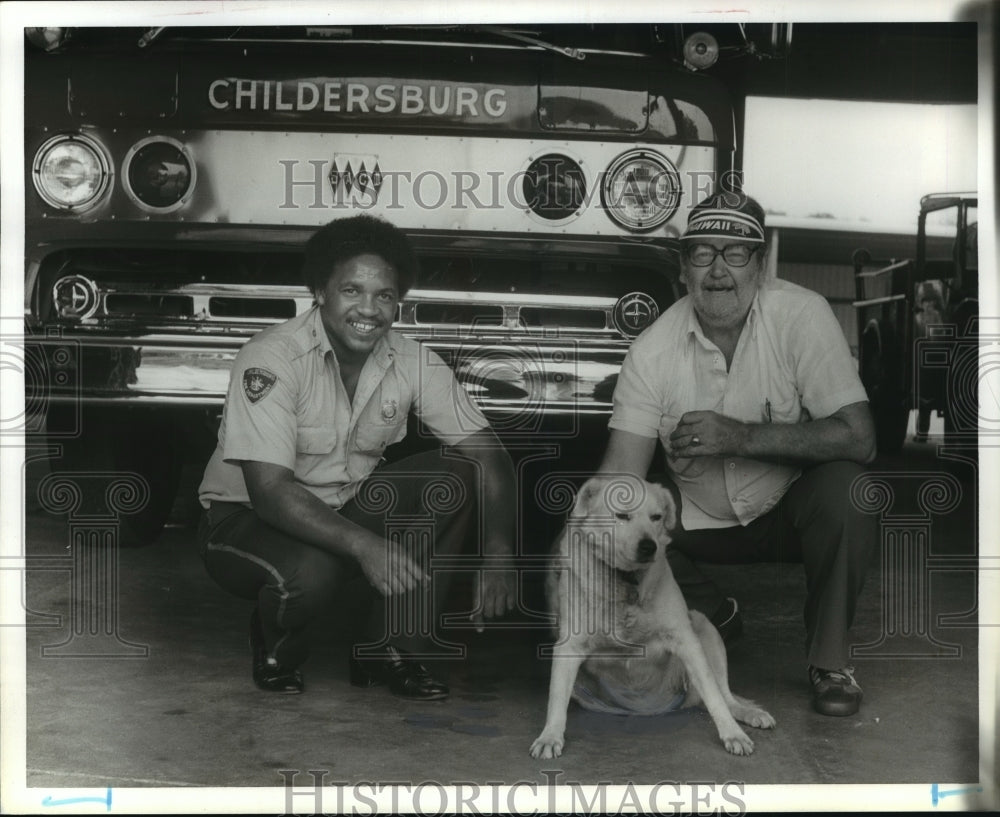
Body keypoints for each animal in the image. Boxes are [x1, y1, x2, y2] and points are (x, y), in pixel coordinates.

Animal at [528, 472, 776, 760]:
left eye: (656, 517)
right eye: (622, 515)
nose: (649, 546)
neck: (626, 580)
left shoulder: (687, 641)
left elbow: (715, 696)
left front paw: (732, 733)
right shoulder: (568, 646)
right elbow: (556, 699)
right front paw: (550, 736)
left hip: (705, 627)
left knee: (723, 695)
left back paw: (747, 713)